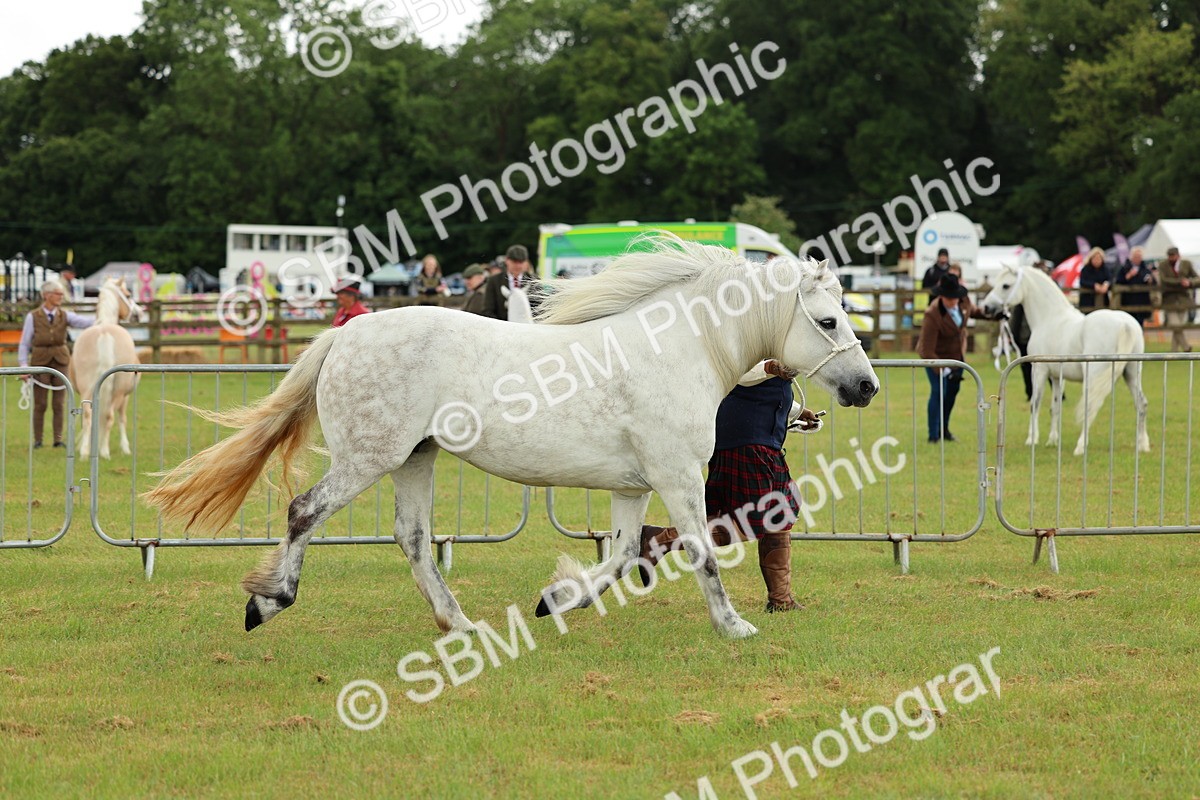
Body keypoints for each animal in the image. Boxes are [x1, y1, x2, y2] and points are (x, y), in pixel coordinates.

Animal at [70, 277, 142, 459]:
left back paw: (85, 452)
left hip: (87, 388)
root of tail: (104, 333)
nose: (138, 313)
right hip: (118, 391)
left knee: (88, 414)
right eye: (128, 294)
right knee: (109, 416)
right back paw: (103, 451)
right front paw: (125, 448)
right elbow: (122, 419)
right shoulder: (126, 396)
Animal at [145, 235, 879, 639]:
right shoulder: (675, 477)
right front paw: (734, 626)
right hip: (369, 458)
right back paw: (269, 603)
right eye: (828, 319)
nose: (867, 387)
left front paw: (556, 600)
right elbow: (700, 553)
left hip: (415, 459)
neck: (682, 346)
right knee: (305, 512)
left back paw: (460, 624)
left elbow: (622, 558)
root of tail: (345, 333)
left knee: (413, 539)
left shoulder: (637, 486)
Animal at [980, 264, 1149, 456]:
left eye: (1006, 285)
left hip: (1095, 376)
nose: (986, 307)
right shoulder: (1056, 377)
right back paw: (1142, 445)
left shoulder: (1039, 371)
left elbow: (1034, 404)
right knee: (1141, 404)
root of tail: (1125, 324)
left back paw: (1080, 447)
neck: (1050, 318)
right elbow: (1055, 407)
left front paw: (1032, 439)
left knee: (1090, 407)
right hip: (1131, 374)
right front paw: (1052, 441)